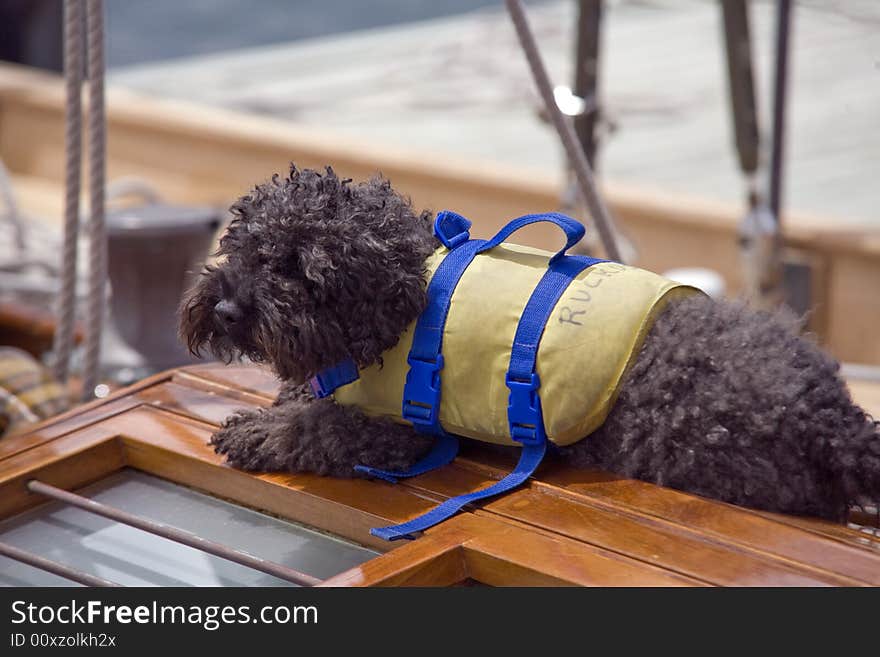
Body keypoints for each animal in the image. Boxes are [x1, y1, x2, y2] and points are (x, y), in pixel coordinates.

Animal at [180, 165, 880, 524]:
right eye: (242, 246)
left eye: (300, 268)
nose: (226, 308)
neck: (401, 297)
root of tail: (837, 421)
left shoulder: (396, 433)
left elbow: (320, 428)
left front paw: (259, 431)